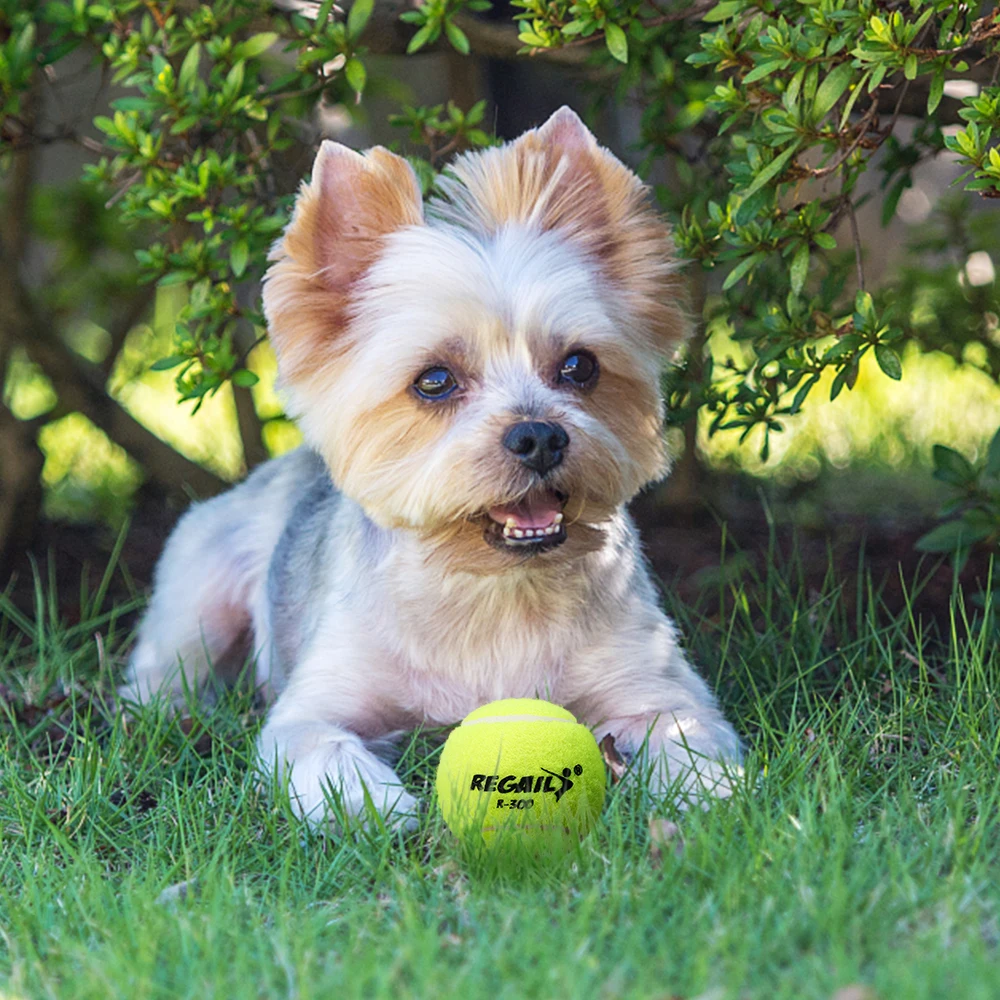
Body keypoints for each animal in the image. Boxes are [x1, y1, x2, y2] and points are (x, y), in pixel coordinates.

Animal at [121, 109, 740, 828]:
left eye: (579, 366)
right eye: (435, 380)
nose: (538, 436)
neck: (493, 588)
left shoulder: (657, 685)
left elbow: (686, 731)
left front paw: (711, 791)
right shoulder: (312, 709)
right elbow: (318, 743)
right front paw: (368, 804)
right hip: (197, 595)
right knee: (163, 674)